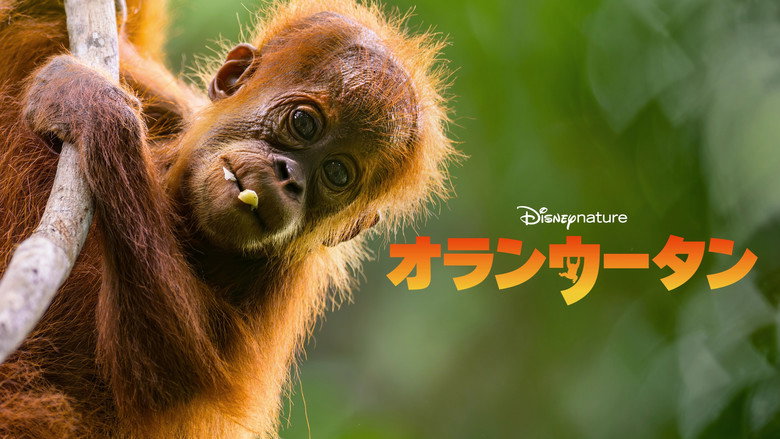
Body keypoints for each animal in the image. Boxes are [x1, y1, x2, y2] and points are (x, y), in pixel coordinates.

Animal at [0, 0, 455, 437]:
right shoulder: (171, 109)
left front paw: (92, 108)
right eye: (303, 122)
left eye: (337, 173)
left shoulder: (277, 288)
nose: (290, 178)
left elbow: (164, 374)